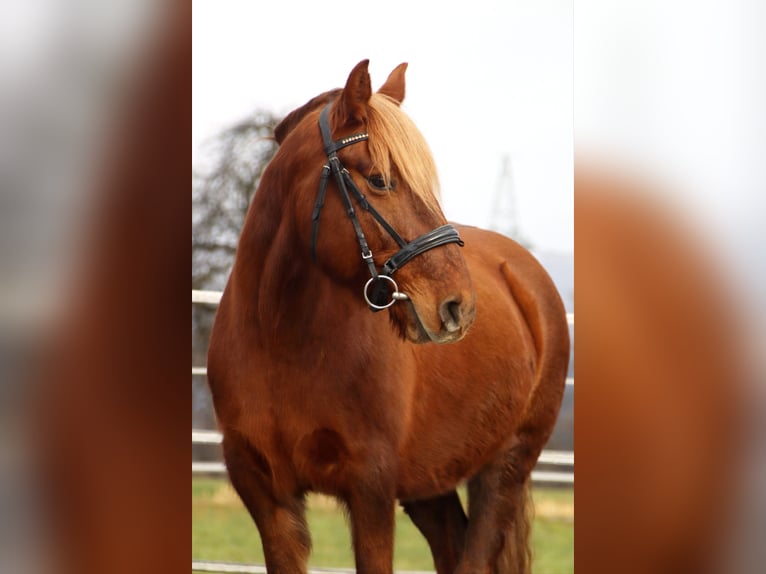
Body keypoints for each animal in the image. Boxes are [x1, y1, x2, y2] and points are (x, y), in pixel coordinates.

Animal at [208, 60, 568, 572]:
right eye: (379, 179)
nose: (457, 305)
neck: (282, 343)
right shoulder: (267, 497)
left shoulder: (372, 490)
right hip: (430, 483)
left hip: (505, 467)